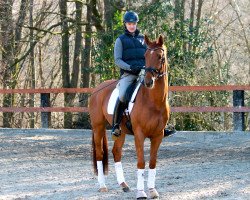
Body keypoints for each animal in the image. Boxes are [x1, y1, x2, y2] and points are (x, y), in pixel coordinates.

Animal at [90, 35, 170, 199]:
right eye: (146, 56)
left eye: (160, 57)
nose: (148, 82)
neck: (153, 101)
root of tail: (96, 90)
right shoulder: (139, 134)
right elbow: (141, 162)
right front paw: (141, 192)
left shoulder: (158, 135)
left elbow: (152, 162)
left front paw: (152, 190)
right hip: (98, 127)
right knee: (100, 154)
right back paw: (102, 186)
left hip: (120, 131)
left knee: (116, 152)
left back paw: (124, 185)